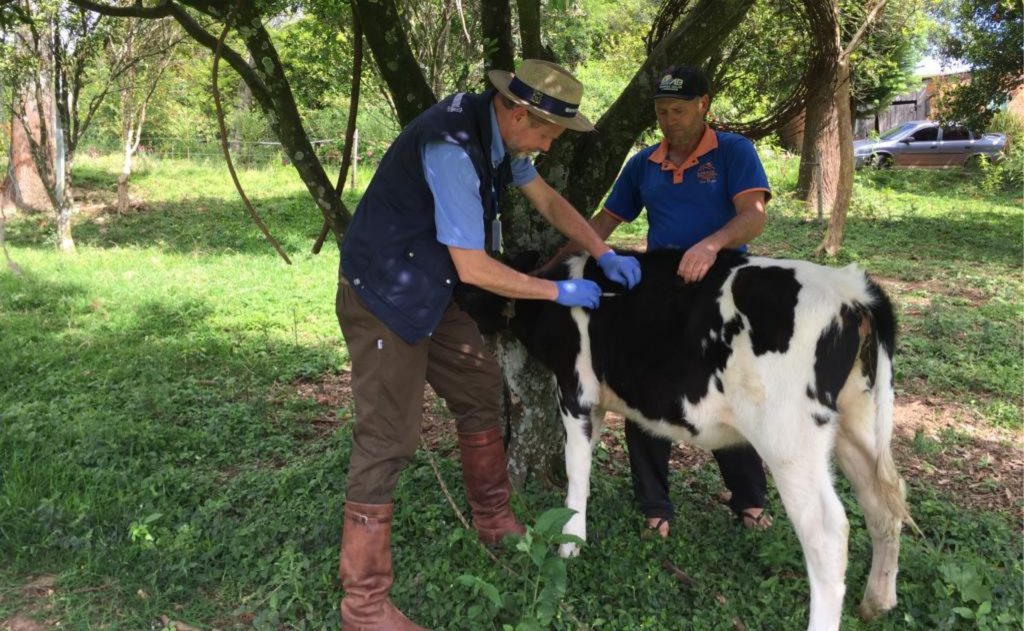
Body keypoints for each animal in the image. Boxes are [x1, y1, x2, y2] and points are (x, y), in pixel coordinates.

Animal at [460, 249, 909, 631]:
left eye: (475, 287)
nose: (454, 300)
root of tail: (851, 290)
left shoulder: (576, 390)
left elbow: (576, 468)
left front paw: (570, 542)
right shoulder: (598, 400)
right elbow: (585, 461)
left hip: (790, 439)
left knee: (827, 530)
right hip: (856, 422)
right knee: (884, 501)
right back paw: (877, 601)